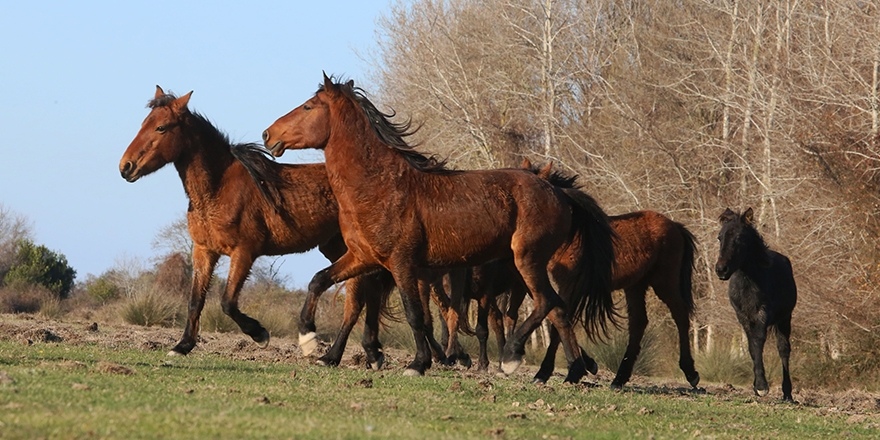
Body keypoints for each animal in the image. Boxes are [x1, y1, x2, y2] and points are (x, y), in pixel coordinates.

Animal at [118, 86, 394, 368]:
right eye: (144, 124)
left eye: (161, 127)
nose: (125, 166)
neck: (218, 188)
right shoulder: (204, 251)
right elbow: (195, 301)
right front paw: (182, 346)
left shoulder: (243, 253)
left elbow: (228, 302)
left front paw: (260, 334)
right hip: (342, 250)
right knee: (367, 294)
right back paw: (368, 354)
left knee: (355, 302)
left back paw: (333, 356)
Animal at [262, 74, 620, 380]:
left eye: (309, 106)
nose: (268, 135)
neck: (379, 186)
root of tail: (558, 191)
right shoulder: (363, 257)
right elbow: (319, 281)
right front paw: (310, 340)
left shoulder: (402, 263)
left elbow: (416, 314)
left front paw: (418, 364)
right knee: (558, 310)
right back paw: (568, 372)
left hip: (528, 259)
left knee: (546, 303)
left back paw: (512, 358)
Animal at [716, 208, 796, 400]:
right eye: (720, 237)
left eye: (739, 237)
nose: (721, 270)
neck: (749, 282)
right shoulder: (743, 317)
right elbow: (752, 347)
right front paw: (756, 385)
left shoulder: (762, 314)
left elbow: (759, 341)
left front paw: (761, 386)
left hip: (784, 319)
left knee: (784, 350)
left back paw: (787, 393)